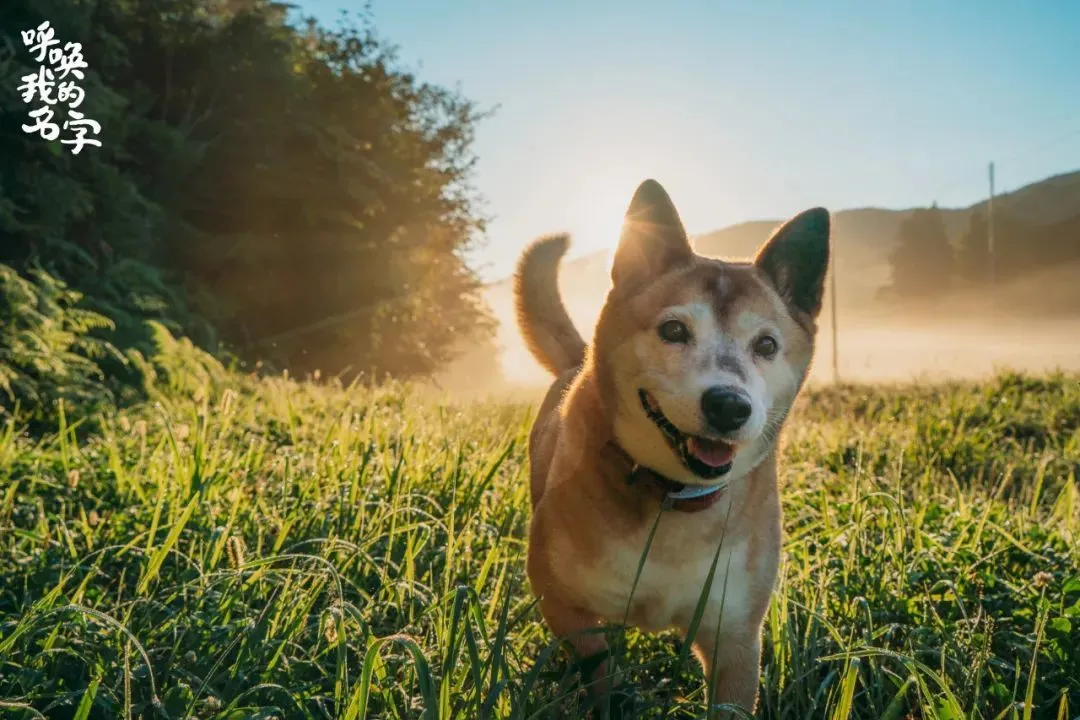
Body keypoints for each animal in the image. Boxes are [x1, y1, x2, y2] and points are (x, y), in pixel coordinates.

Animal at [509, 180, 829, 716]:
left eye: (765, 345)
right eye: (674, 330)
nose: (728, 405)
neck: (674, 501)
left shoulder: (735, 636)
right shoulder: (562, 601)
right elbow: (600, 665)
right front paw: (614, 697)